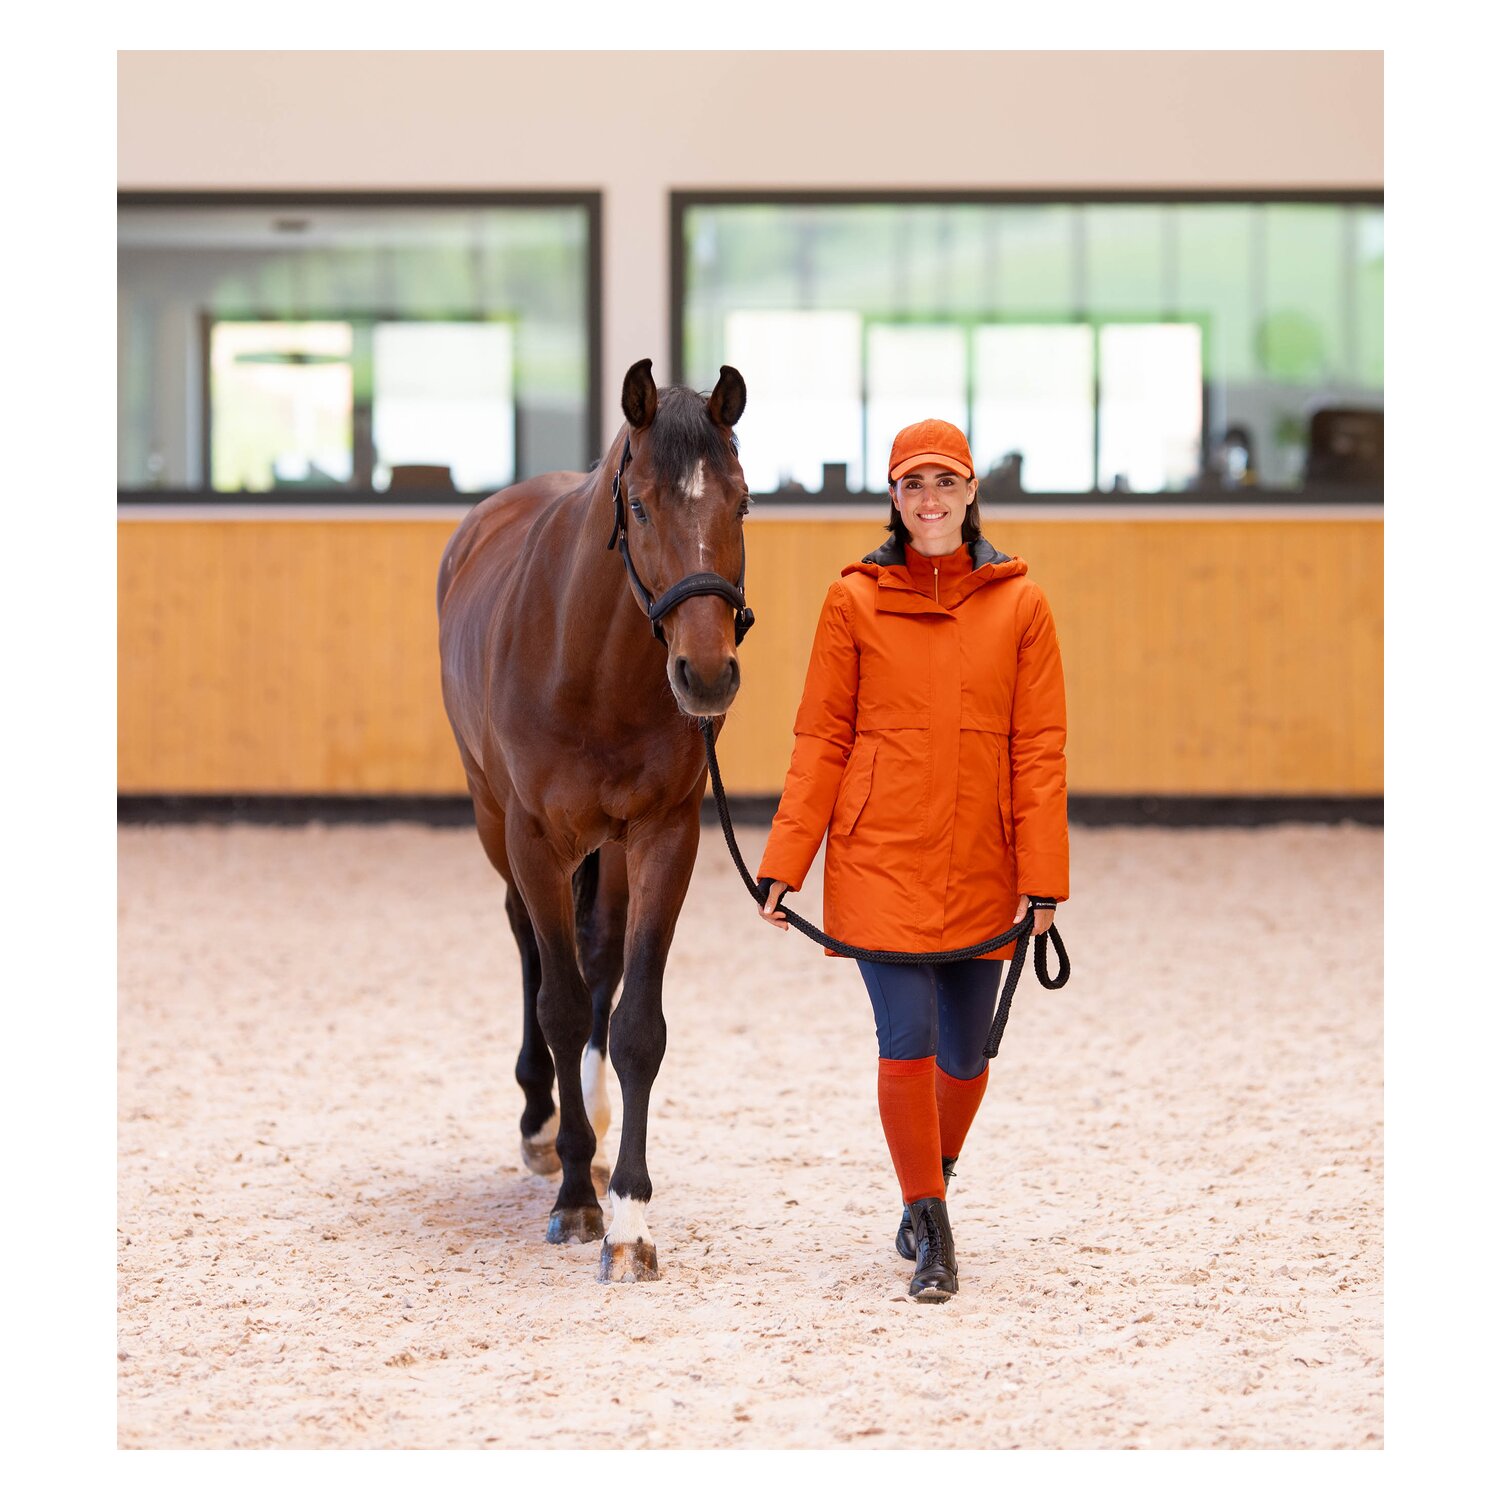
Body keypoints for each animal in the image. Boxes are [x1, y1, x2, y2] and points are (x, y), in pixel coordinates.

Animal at [436, 358, 752, 1282]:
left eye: (742, 503)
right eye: (640, 506)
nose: (707, 675)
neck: (594, 666)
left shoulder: (665, 836)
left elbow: (634, 1020)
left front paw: (631, 1219)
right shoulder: (535, 840)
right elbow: (563, 1005)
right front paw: (575, 1197)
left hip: (606, 851)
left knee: (599, 957)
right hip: (495, 823)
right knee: (533, 953)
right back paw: (545, 1125)